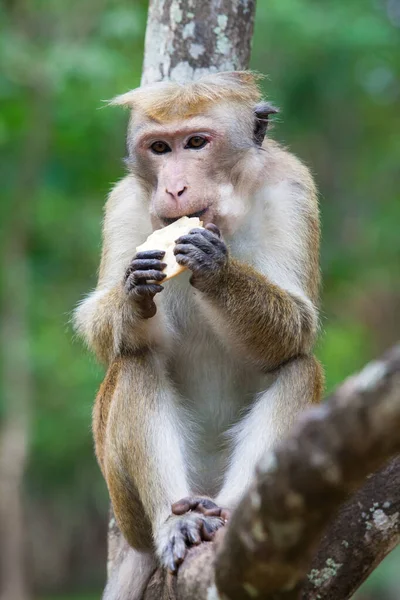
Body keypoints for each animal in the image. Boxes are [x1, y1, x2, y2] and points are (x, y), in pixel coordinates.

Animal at [75, 71, 324, 600]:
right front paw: (133, 291)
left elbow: (298, 327)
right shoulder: (124, 202)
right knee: (135, 362)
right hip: (127, 506)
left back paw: (223, 516)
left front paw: (216, 269)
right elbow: (102, 329)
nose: (174, 188)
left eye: (195, 143)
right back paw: (177, 523)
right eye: (159, 148)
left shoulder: (292, 186)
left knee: (300, 367)